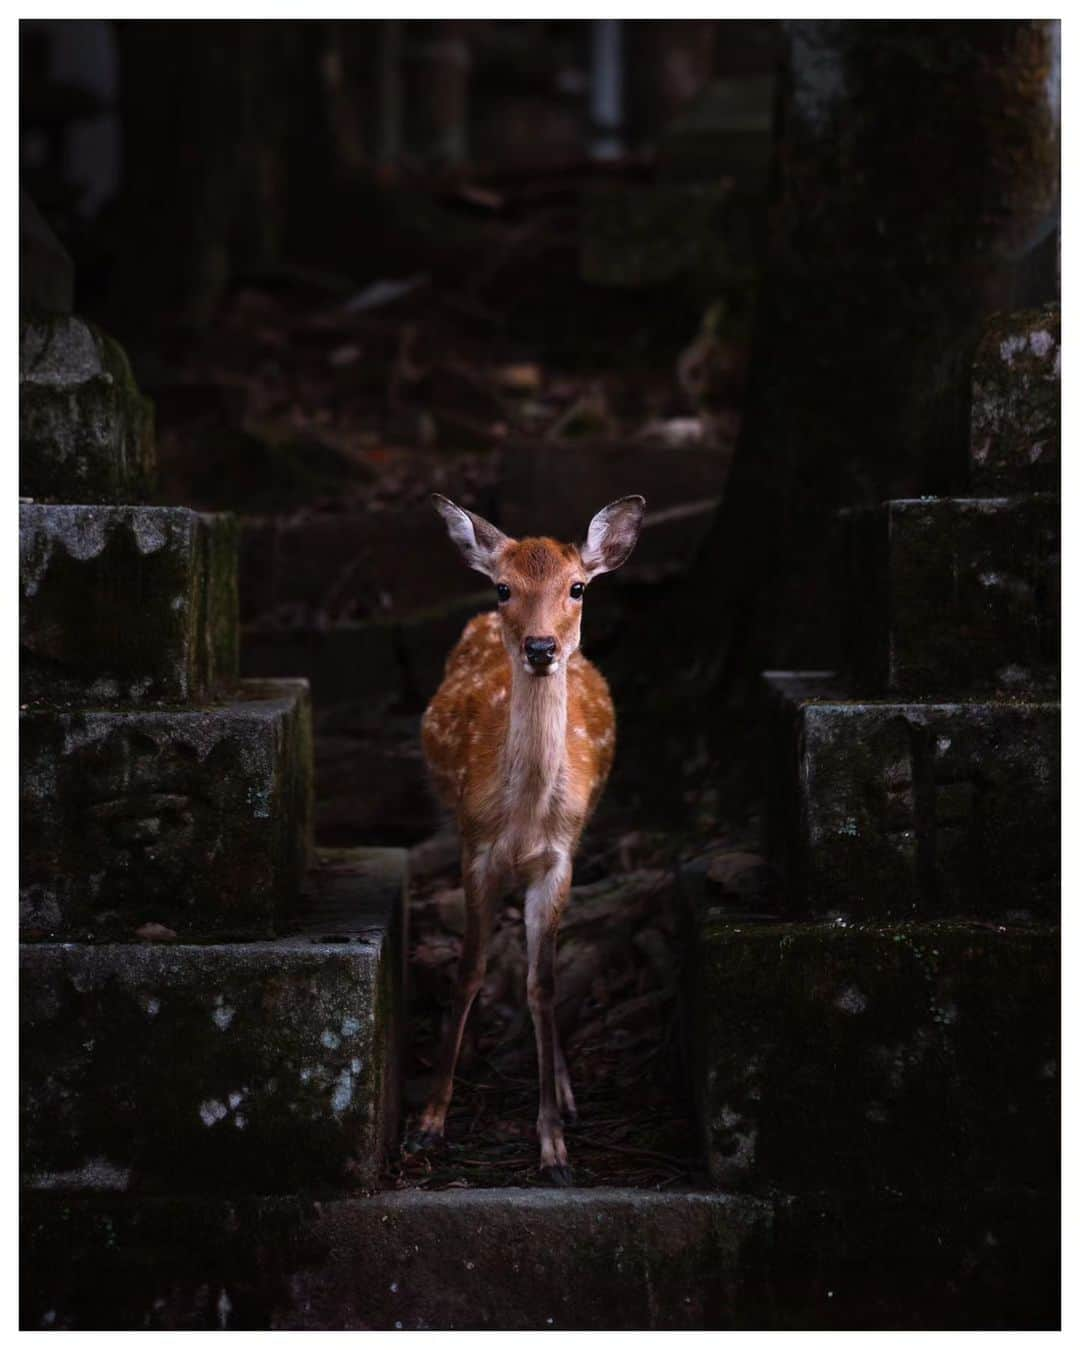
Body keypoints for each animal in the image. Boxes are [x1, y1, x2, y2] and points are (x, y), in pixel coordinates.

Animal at [410, 494, 650, 1182]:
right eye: (502, 587)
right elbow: (470, 969)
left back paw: (566, 1093)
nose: (541, 646)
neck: (523, 820)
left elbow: (542, 985)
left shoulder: (559, 860)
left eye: (577, 586)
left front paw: (554, 1147)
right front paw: (430, 1121)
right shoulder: (475, 848)